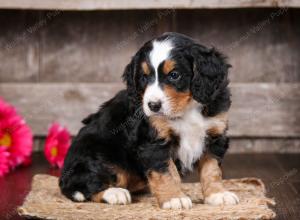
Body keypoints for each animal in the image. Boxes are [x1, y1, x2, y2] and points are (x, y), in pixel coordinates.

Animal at [59, 31, 240, 209]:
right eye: (144, 77)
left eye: (174, 75)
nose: (153, 105)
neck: (186, 109)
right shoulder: (153, 142)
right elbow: (166, 172)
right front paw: (174, 198)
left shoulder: (215, 134)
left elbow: (212, 170)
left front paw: (217, 194)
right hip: (98, 155)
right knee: (79, 186)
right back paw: (114, 193)